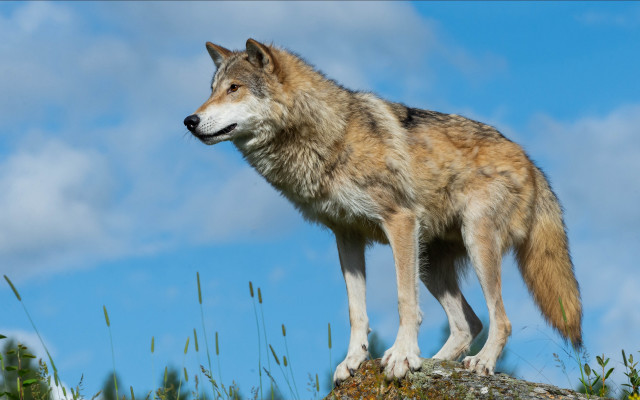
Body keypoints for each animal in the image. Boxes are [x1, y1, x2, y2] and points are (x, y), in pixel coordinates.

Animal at [184, 39, 582, 384]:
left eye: (234, 88)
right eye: (212, 89)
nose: (189, 120)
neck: (332, 136)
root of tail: (531, 162)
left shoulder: (399, 221)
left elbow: (404, 301)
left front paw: (402, 357)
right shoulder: (346, 236)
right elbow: (355, 310)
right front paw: (354, 361)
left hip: (474, 243)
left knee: (500, 319)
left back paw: (480, 364)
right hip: (431, 264)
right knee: (469, 323)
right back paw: (435, 364)